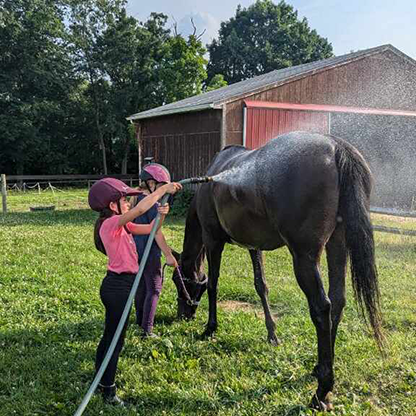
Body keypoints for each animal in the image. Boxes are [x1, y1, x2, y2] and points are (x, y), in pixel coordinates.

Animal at [172, 131, 384, 410]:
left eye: (177, 281)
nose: (182, 315)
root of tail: (337, 148)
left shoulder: (212, 240)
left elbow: (214, 283)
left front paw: (210, 328)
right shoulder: (254, 246)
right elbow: (261, 285)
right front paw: (272, 334)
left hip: (304, 257)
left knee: (322, 307)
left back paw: (321, 392)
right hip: (337, 245)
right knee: (337, 301)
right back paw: (321, 370)